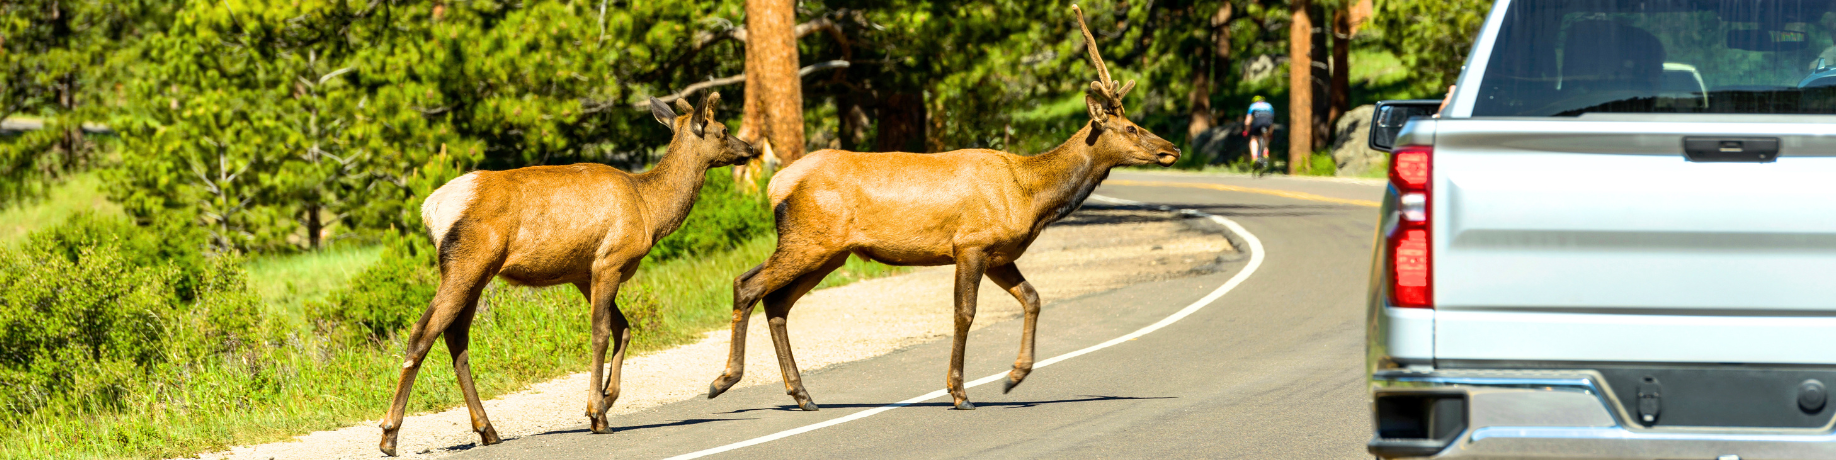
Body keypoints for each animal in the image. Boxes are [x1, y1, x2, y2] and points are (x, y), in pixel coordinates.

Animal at [377, 93, 754, 456]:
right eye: (722, 130)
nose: (750, 148)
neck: (650, 210)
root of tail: (431, 210)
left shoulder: (583, 273)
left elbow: (623, 328)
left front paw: (608, 396)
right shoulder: (609, 261)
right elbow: (601, 332)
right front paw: (597, 414)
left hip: (476, 274)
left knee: (456, 338)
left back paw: (487, 430)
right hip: (467, 264)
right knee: (422, 331)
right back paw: (389, 435)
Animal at [705, 5, 1179, 412]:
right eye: (1130, 127)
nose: (1170, 148)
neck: (1030, 196)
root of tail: (775, 186)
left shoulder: (999, 253)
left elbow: (1033, 298)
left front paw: (1015, 376)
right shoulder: (970, 244)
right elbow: (965, 313)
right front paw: (959, 392)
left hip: (830, 253)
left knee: (777, 301)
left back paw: (802, 394)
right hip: (808, 239)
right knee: (748, 284)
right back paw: (724, 380)